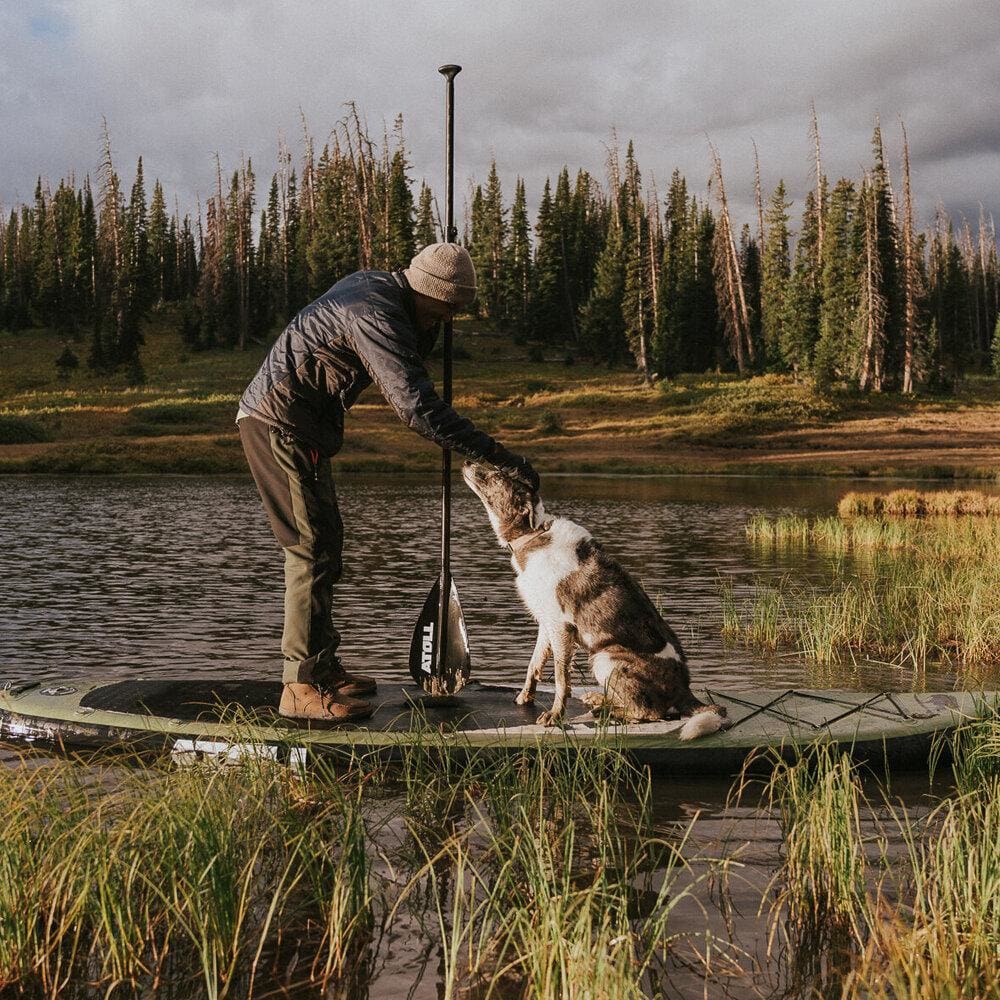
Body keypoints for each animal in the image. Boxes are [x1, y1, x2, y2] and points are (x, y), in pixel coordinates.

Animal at [460, 464, 728, 740]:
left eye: (496, 476)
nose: (468, 463)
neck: (532, 535)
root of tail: (685, 690)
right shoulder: (546, 624)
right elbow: (534, 664)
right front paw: (525, 697)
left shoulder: (561, 628)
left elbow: (561, 678)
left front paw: (555, 716)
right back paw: (600, 700)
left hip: (604, 658)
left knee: (647, 712)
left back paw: (606, 710)